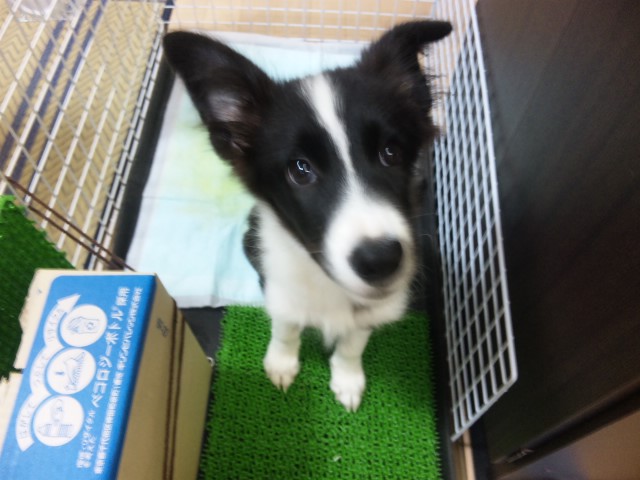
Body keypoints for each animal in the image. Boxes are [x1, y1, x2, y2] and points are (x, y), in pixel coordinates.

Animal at [163, 20, 452, 411]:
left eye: (391, 152)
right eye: (300, 170)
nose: (380, 260)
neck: (327, 282)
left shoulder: (373, 308)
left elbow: (353, 342)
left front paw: (348, 379)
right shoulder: (283, 292)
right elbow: (286, 327)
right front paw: (282, 364)